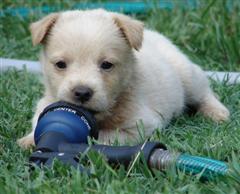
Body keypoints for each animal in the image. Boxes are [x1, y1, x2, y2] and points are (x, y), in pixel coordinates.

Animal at [18, 9, 229, 149]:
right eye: (60, 64)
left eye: (106, 65)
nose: (82, 92)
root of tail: (155, 35)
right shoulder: (46, 101)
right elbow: (38, 121)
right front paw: (28, 140)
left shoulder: (141, 126)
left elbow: (103, 136)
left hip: (188, 75)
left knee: (205, 92)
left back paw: (217, 112)